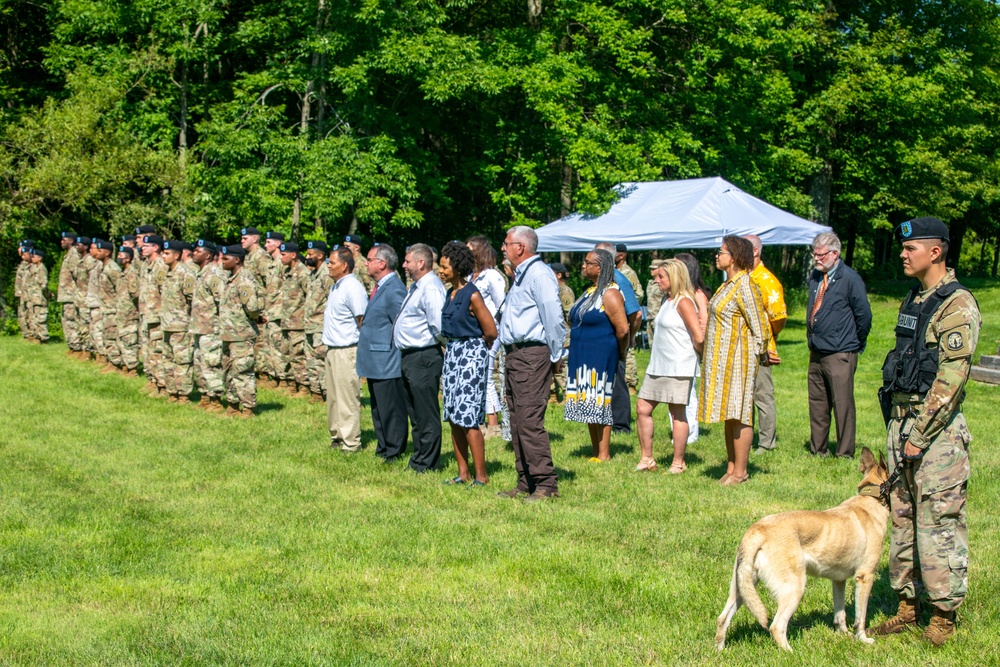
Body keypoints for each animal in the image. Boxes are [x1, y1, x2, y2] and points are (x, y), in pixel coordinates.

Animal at [716, 448, 888, 652]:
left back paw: (719, 650)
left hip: (743, 586)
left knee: (722, 618)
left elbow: (840, 614)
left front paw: (843, 634)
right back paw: (790, 653)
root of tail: (757, 530)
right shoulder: (865, 577)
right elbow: (860, 618)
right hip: (794, 587)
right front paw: (862, 639)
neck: (871, 501)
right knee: (776, 626)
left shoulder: (838, 580)